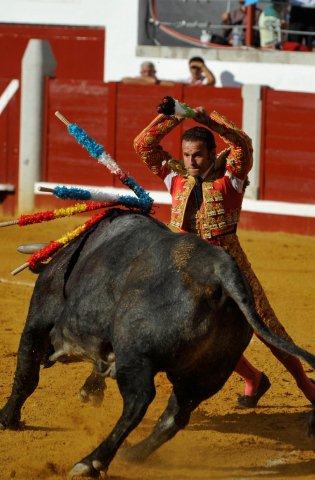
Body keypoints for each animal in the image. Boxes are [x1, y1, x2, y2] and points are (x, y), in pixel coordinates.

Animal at [0, 211, 315, 480]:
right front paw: (90, 391)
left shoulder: (39, 319)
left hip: (135, 352)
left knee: (139, 400)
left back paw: (90, 462)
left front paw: (7, 418)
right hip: (205, 373)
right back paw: (133, 454)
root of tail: (222, 273)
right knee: (176, 415)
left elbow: (26, 373)